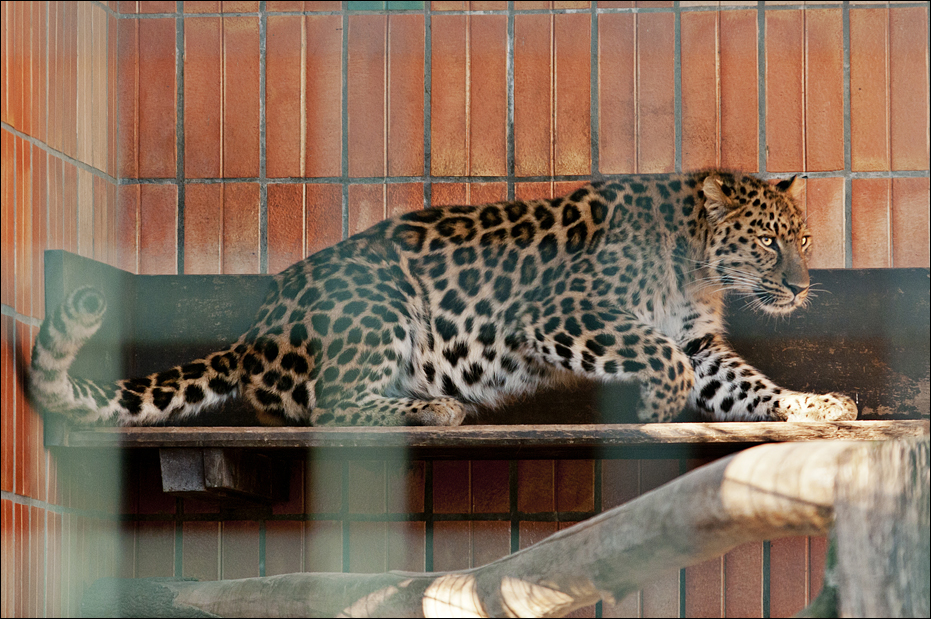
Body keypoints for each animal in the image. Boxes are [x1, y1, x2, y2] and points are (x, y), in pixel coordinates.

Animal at [29, 170, 858, 427]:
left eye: (802, 238)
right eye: (766, 243)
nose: (799, 285)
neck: (696, 262)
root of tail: (254, 332)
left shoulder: (696, 339)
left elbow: (743, 381)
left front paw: (812, 404)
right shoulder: (563, 314)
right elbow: (660, 358)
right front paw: (655, 411)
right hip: (378, 299)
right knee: (324, 408)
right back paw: (434, 408)